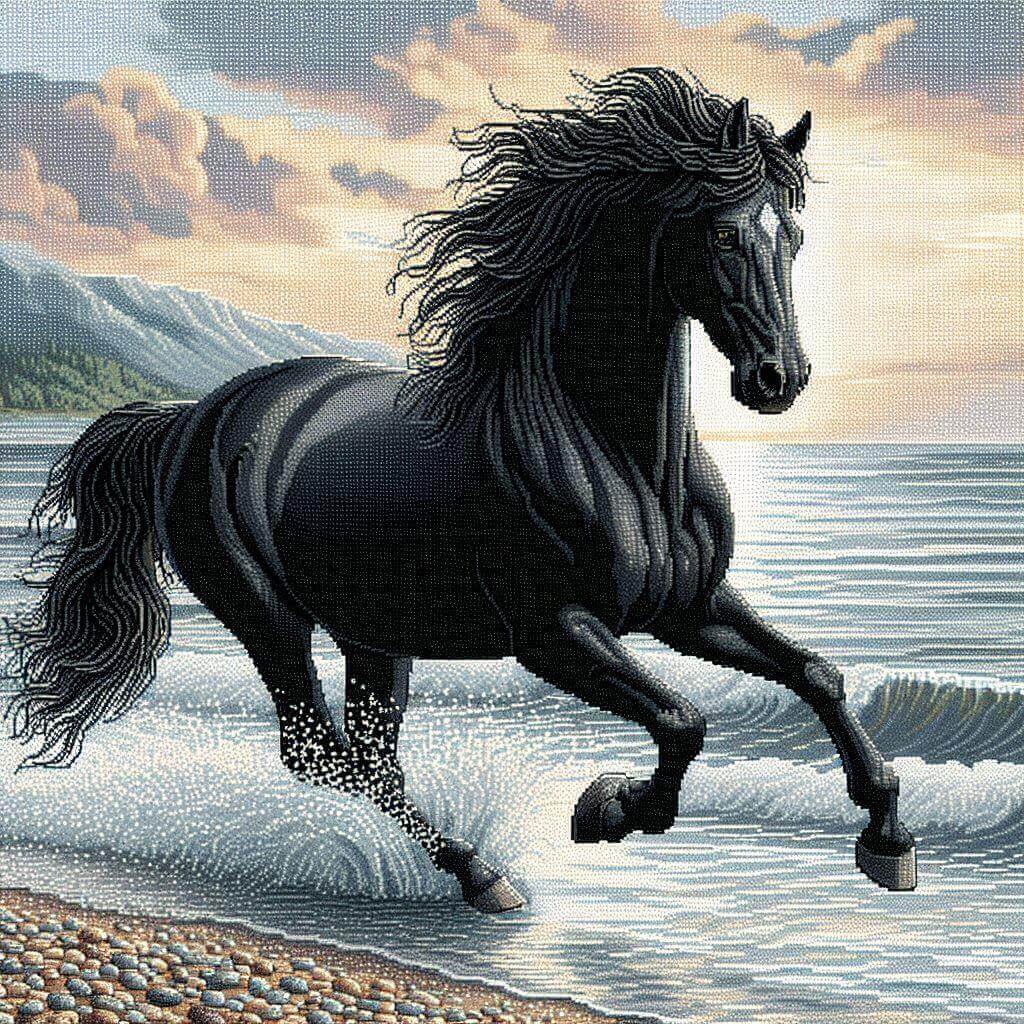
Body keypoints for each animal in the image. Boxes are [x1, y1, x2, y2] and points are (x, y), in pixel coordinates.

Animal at [3, 67, 916, 912]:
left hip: (374, 632)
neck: (613, 454)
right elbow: (682, 721)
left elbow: (817, 675)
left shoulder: (689, 606)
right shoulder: (554, 631)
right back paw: (481, 873)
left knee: (368, 759)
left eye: (793, 236)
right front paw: (609, 809)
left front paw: (888, 838)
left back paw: (476, 871)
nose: (779, 380)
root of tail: (196, 416)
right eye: (726, 236)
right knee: (323, 758)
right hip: (269, 621)